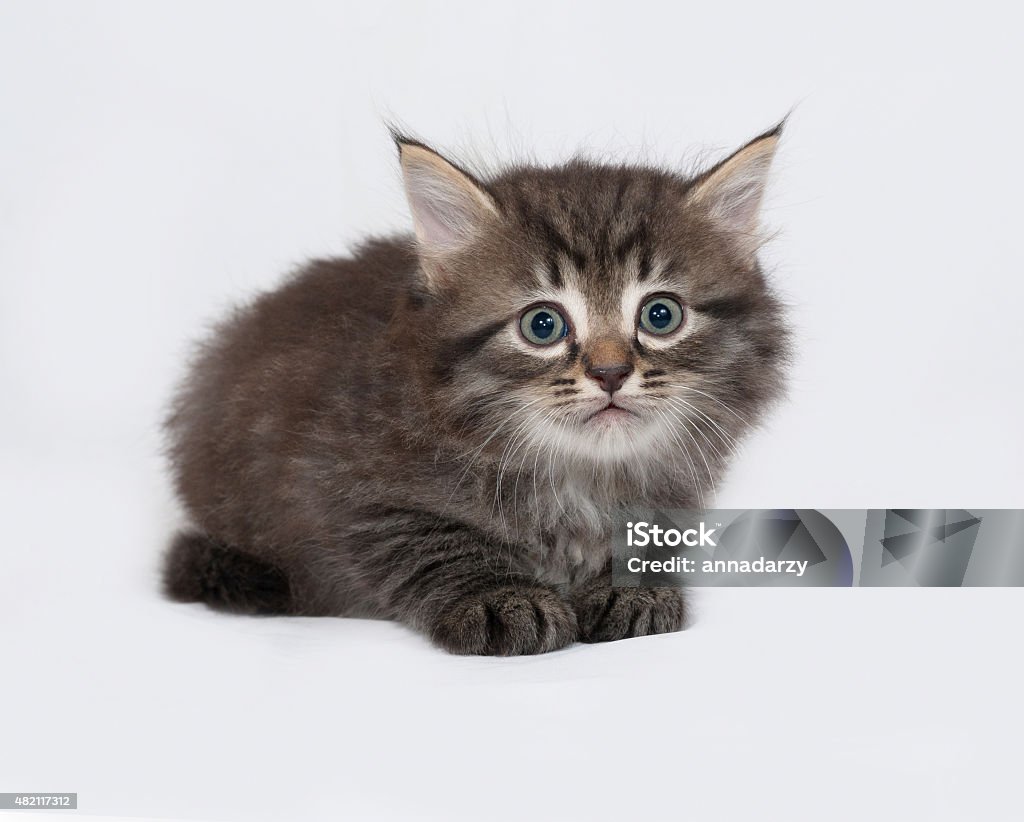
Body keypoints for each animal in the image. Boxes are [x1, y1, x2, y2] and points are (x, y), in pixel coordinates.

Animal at [161, 123, 790, 655]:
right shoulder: (343, 487)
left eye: (661, 315)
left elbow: (648, 537)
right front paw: (501, 599)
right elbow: (433, 544)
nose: (610, 373)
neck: (578, 473)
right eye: (543, 325)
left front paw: (631, 586)